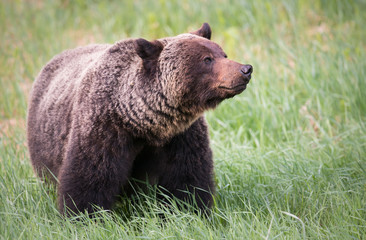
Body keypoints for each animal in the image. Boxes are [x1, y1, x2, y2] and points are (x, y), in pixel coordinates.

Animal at [27, 23, 253, 216]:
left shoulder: (181, 136)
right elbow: (89, 179)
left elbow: (188, 179)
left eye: (223, 53)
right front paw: (84, 216)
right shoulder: (103, 130)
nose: (246, 69)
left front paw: (191, 211)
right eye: (207, 59)